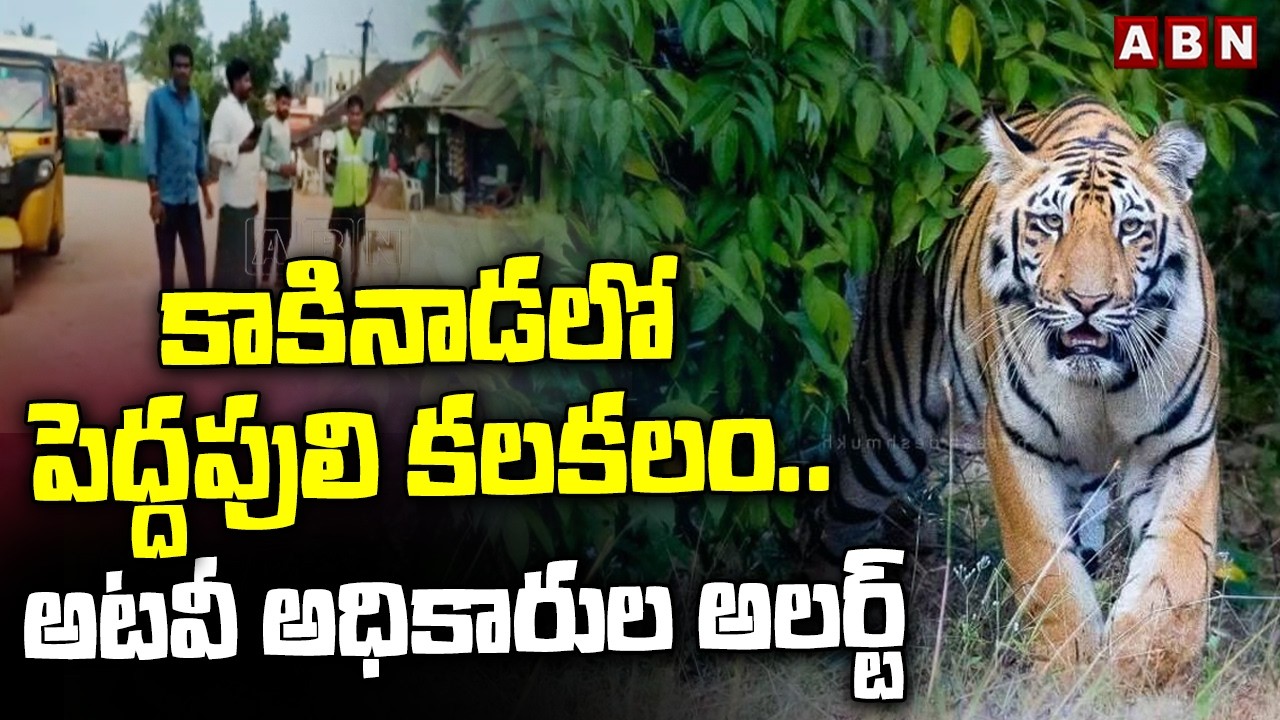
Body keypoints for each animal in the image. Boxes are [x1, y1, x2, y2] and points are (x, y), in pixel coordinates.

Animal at [821, 96, 1219, 687]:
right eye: (1051, 223)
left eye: (1130, 228)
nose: (1088, 302)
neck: (1100, 383)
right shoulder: (1017, 442)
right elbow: (1044, 564)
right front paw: (1066, 665)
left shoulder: (1181, 447)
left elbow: (1179, 561)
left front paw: (1146, 664)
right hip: (887, 433)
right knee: (833, 518)